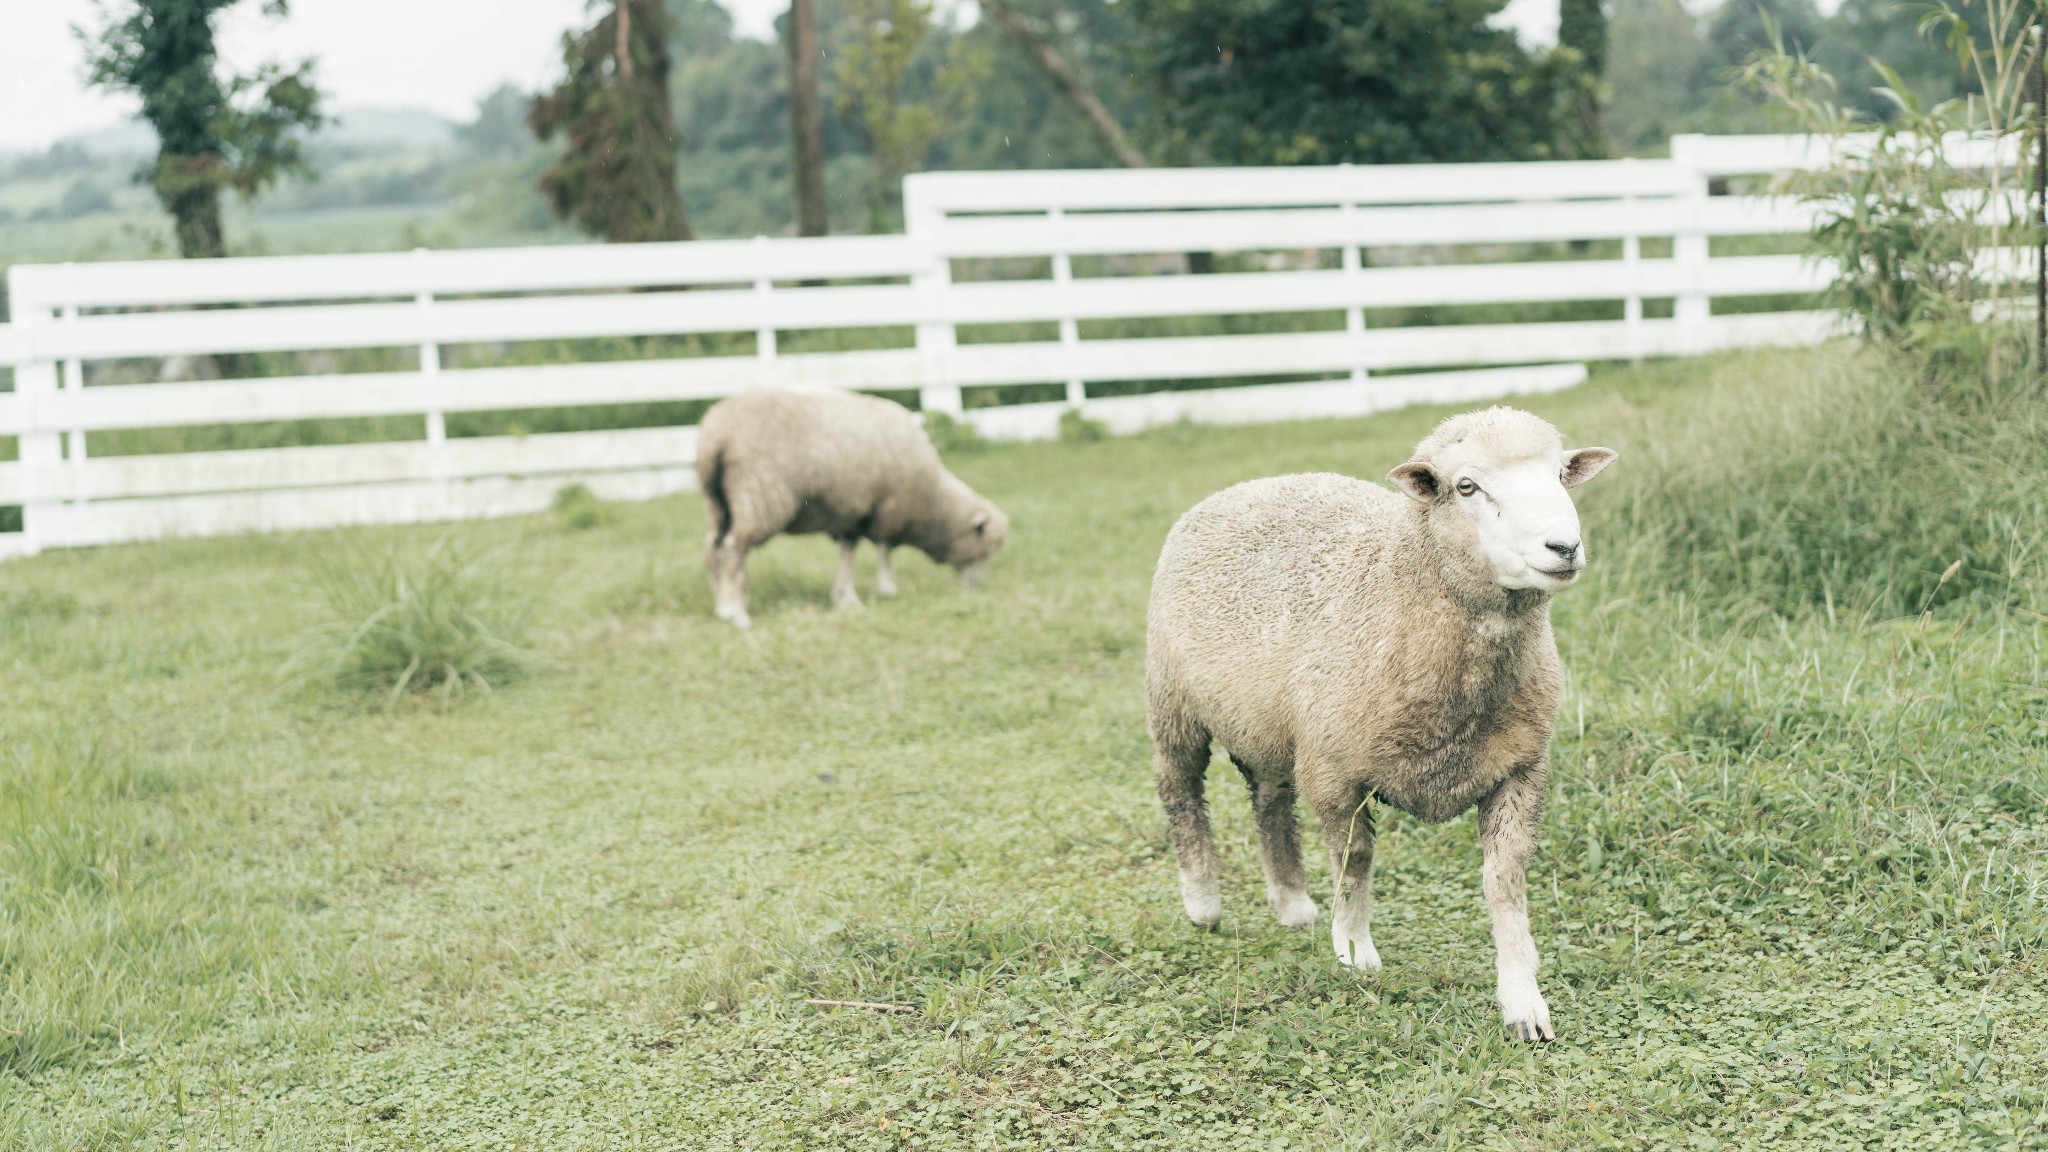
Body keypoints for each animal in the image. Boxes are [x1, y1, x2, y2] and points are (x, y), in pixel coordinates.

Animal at [696, 387, 1007, 627]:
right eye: (983, 551)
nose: (980, 588)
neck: (931, 501)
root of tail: (716, 437)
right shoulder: (886, 508)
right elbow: (884, 550)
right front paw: (887, 589)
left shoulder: (851, 515)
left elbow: (848, 554)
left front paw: (845, 598)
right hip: (758, 494)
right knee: (732, 550)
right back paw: (738, 614)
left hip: (719, 503)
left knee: (713, 548)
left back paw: (723, 607)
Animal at [1146, 405, 1605, 1041]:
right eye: (1466, 486)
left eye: (1561, 474)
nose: (1564, 546)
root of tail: (1247, 486)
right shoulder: (1335, 773)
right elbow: (1355, 860)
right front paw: (1354, 950)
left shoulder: (1520, 768)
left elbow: (1504, 879)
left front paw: (1522, 998)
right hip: (1174, 702)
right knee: (1180, 788)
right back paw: (1203, 901)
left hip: (1274, 723)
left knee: (1269, 799)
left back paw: (1291, 903)